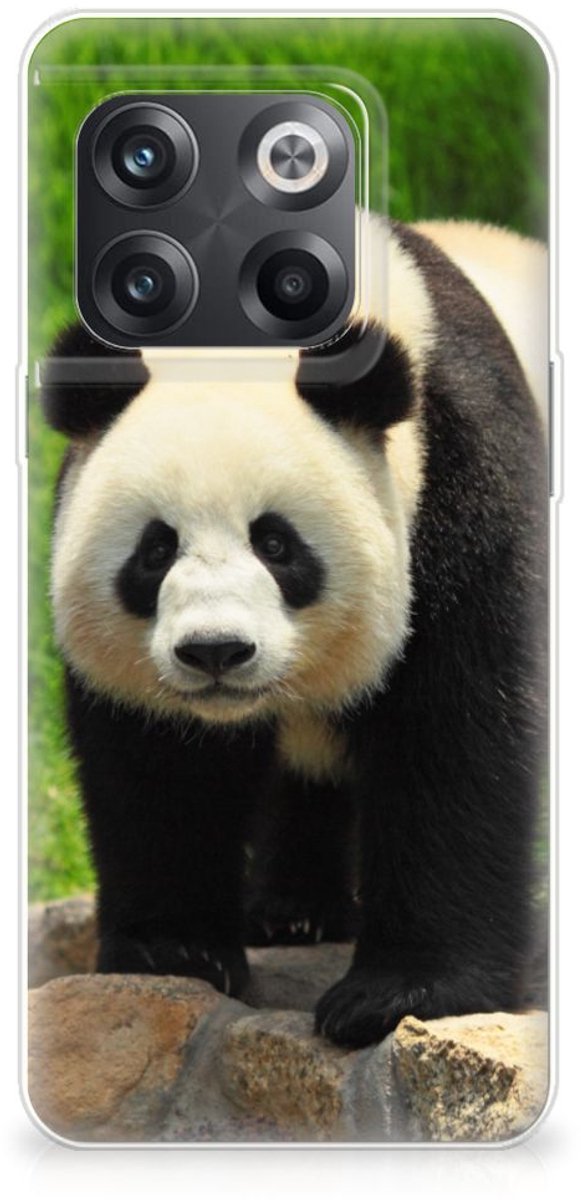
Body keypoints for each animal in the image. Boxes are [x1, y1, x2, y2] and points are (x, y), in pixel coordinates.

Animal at [41, 217, 547, 1049]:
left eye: (276, 544)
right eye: (155, 550)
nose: (215, 651)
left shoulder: (462, 481)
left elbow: (457, 734)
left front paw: (398, 994)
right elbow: (158, 765)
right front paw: (173, 950)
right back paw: (292, 912)